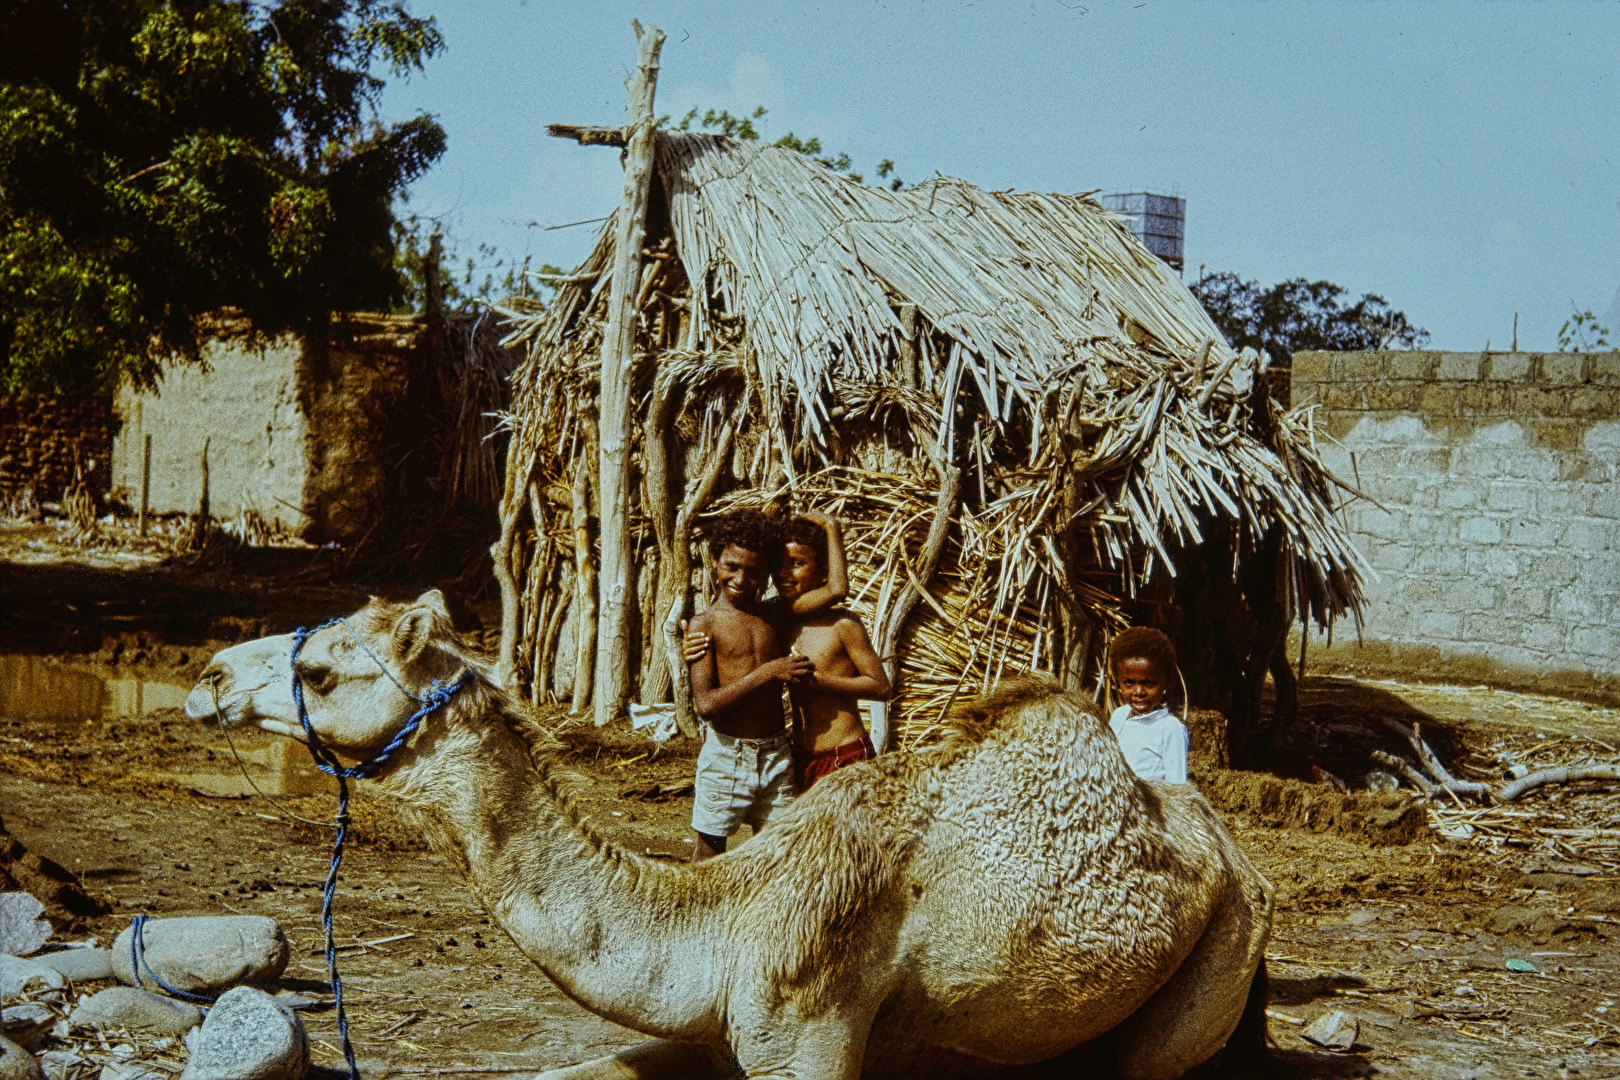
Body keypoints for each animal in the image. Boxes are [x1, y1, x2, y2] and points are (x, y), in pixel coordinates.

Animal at [186, 592, 1276, 1080]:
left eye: (322, 672)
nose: (205, 675)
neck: (725, 922)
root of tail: (1232, 854)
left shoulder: (810, 1034)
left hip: (1220, 955)